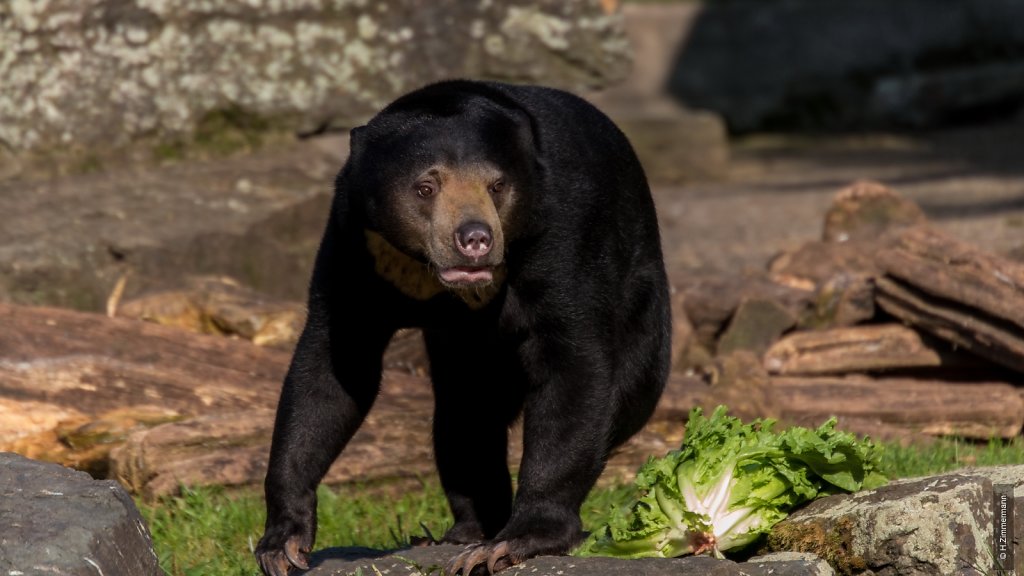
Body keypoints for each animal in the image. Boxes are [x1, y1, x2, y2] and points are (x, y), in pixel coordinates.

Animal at [256, 80, 671, 573]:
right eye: (425, 187)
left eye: (497, 186)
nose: (475, 239)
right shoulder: (355, 240)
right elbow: (333, 371)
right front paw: (283, 544)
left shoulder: (565, 233)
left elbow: (573, 365)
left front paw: (518, 541)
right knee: (463, 419)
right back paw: (464, 531)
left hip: (642, 303)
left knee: (628, 391)